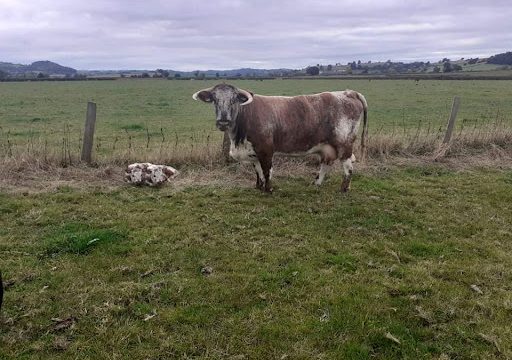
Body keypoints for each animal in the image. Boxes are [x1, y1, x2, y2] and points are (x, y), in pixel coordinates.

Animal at [193, 83, 368, 194]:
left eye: (234, 99)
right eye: (214, 100)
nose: (223, 121)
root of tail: (348, 92)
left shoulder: (265, 149)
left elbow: (266, 170)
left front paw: (269, 189)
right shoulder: (253, 152)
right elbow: (258, 170)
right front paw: (259, 186)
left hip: (344, 143)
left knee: (348, 165)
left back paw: (344, 189)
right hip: (327, 146)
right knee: (326, 164)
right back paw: (316, 183)